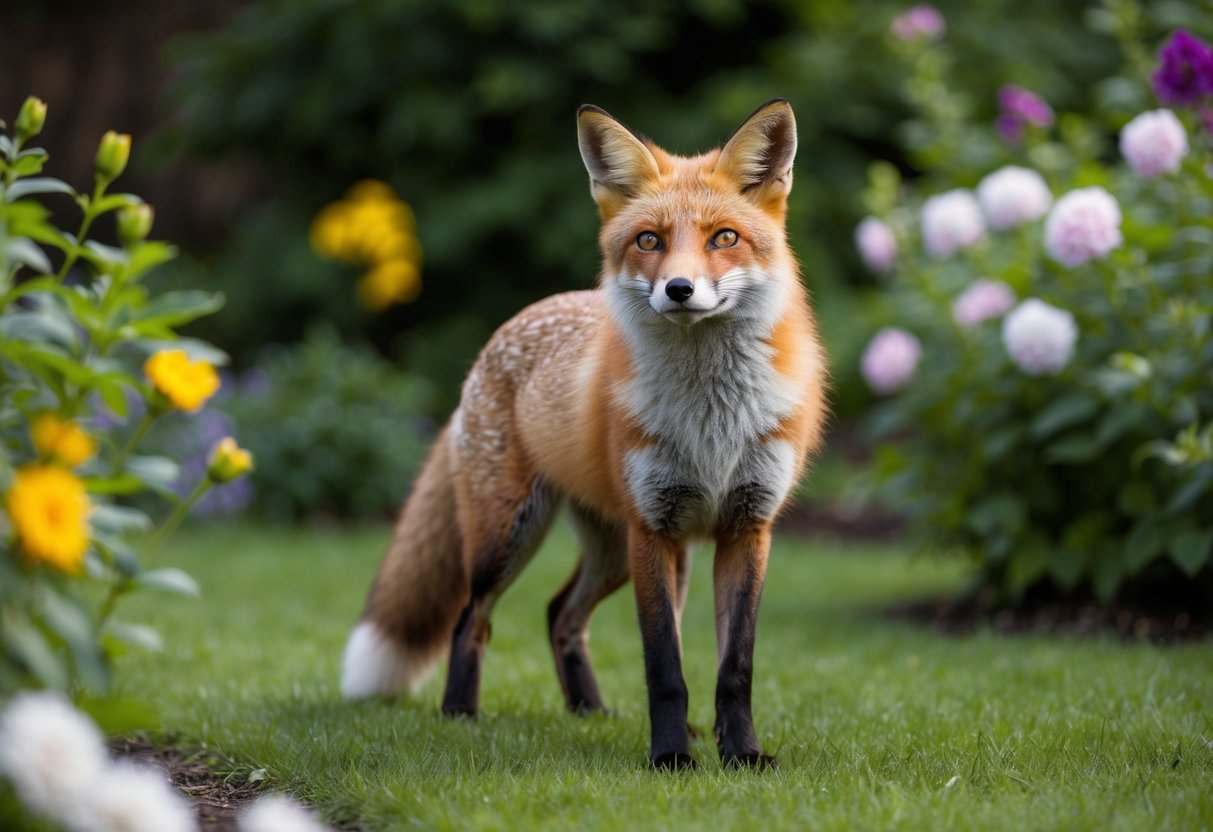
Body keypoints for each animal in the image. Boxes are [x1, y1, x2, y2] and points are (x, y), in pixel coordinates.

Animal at [340, 99, 828, 769]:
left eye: (724, 237)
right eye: (649, 241)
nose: (679, 289)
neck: (712, 418)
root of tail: (503, 333)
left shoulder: (747, 529)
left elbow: (735, 668)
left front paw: (741, 756)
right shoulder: (652, 529)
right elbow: (664, 667)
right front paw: (671, 758)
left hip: (620, 551)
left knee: (558, 614)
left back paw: (589, 711)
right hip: (511, 537)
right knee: (472, 618)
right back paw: (461, 713)